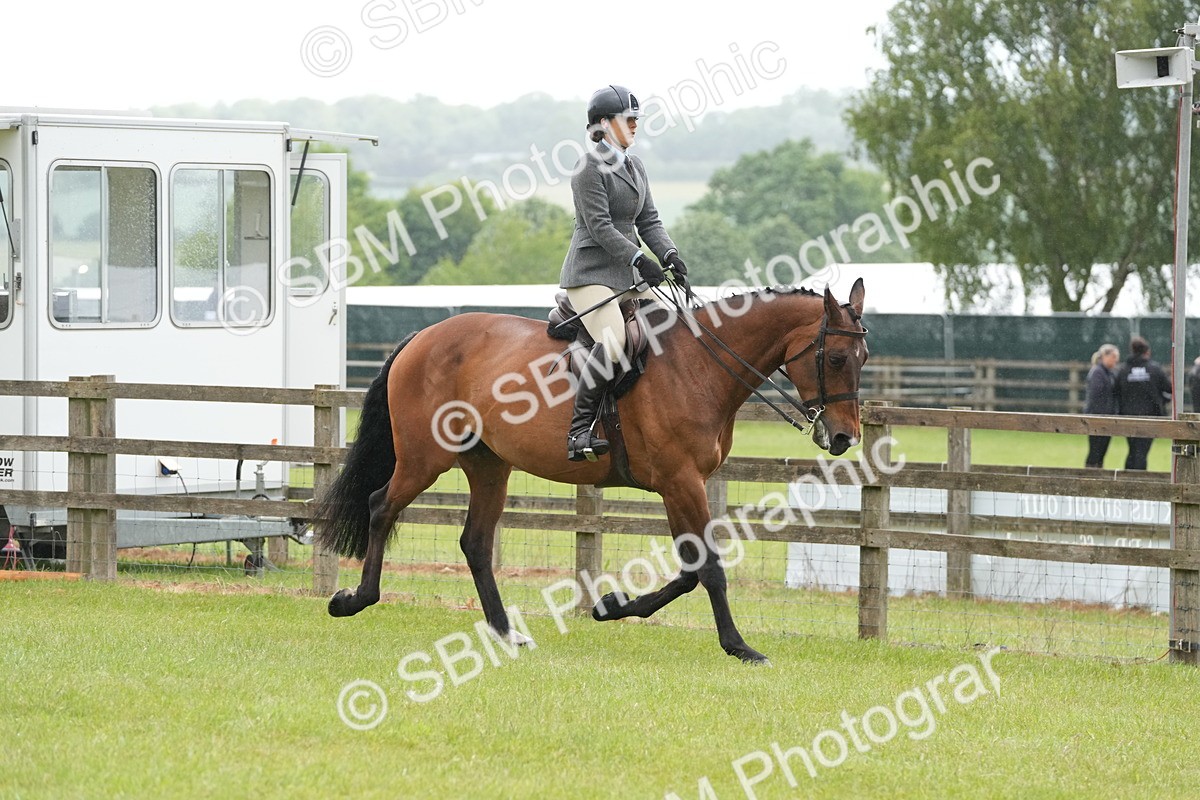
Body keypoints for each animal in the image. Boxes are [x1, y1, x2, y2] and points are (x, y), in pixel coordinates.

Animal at [316, 278, 868, 664]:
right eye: (837, 358)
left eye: (864, 357)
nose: (845, 438)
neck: (700, 365)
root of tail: (422, 336)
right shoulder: (680, 482)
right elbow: (708, 568)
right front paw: (738, 646)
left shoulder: (684, 485)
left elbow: (691, 570)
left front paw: (612, 606)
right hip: (424, 458)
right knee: (381, 507)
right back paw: (354, 599)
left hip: (489, 466)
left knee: (474, 542)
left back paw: (507, 633)